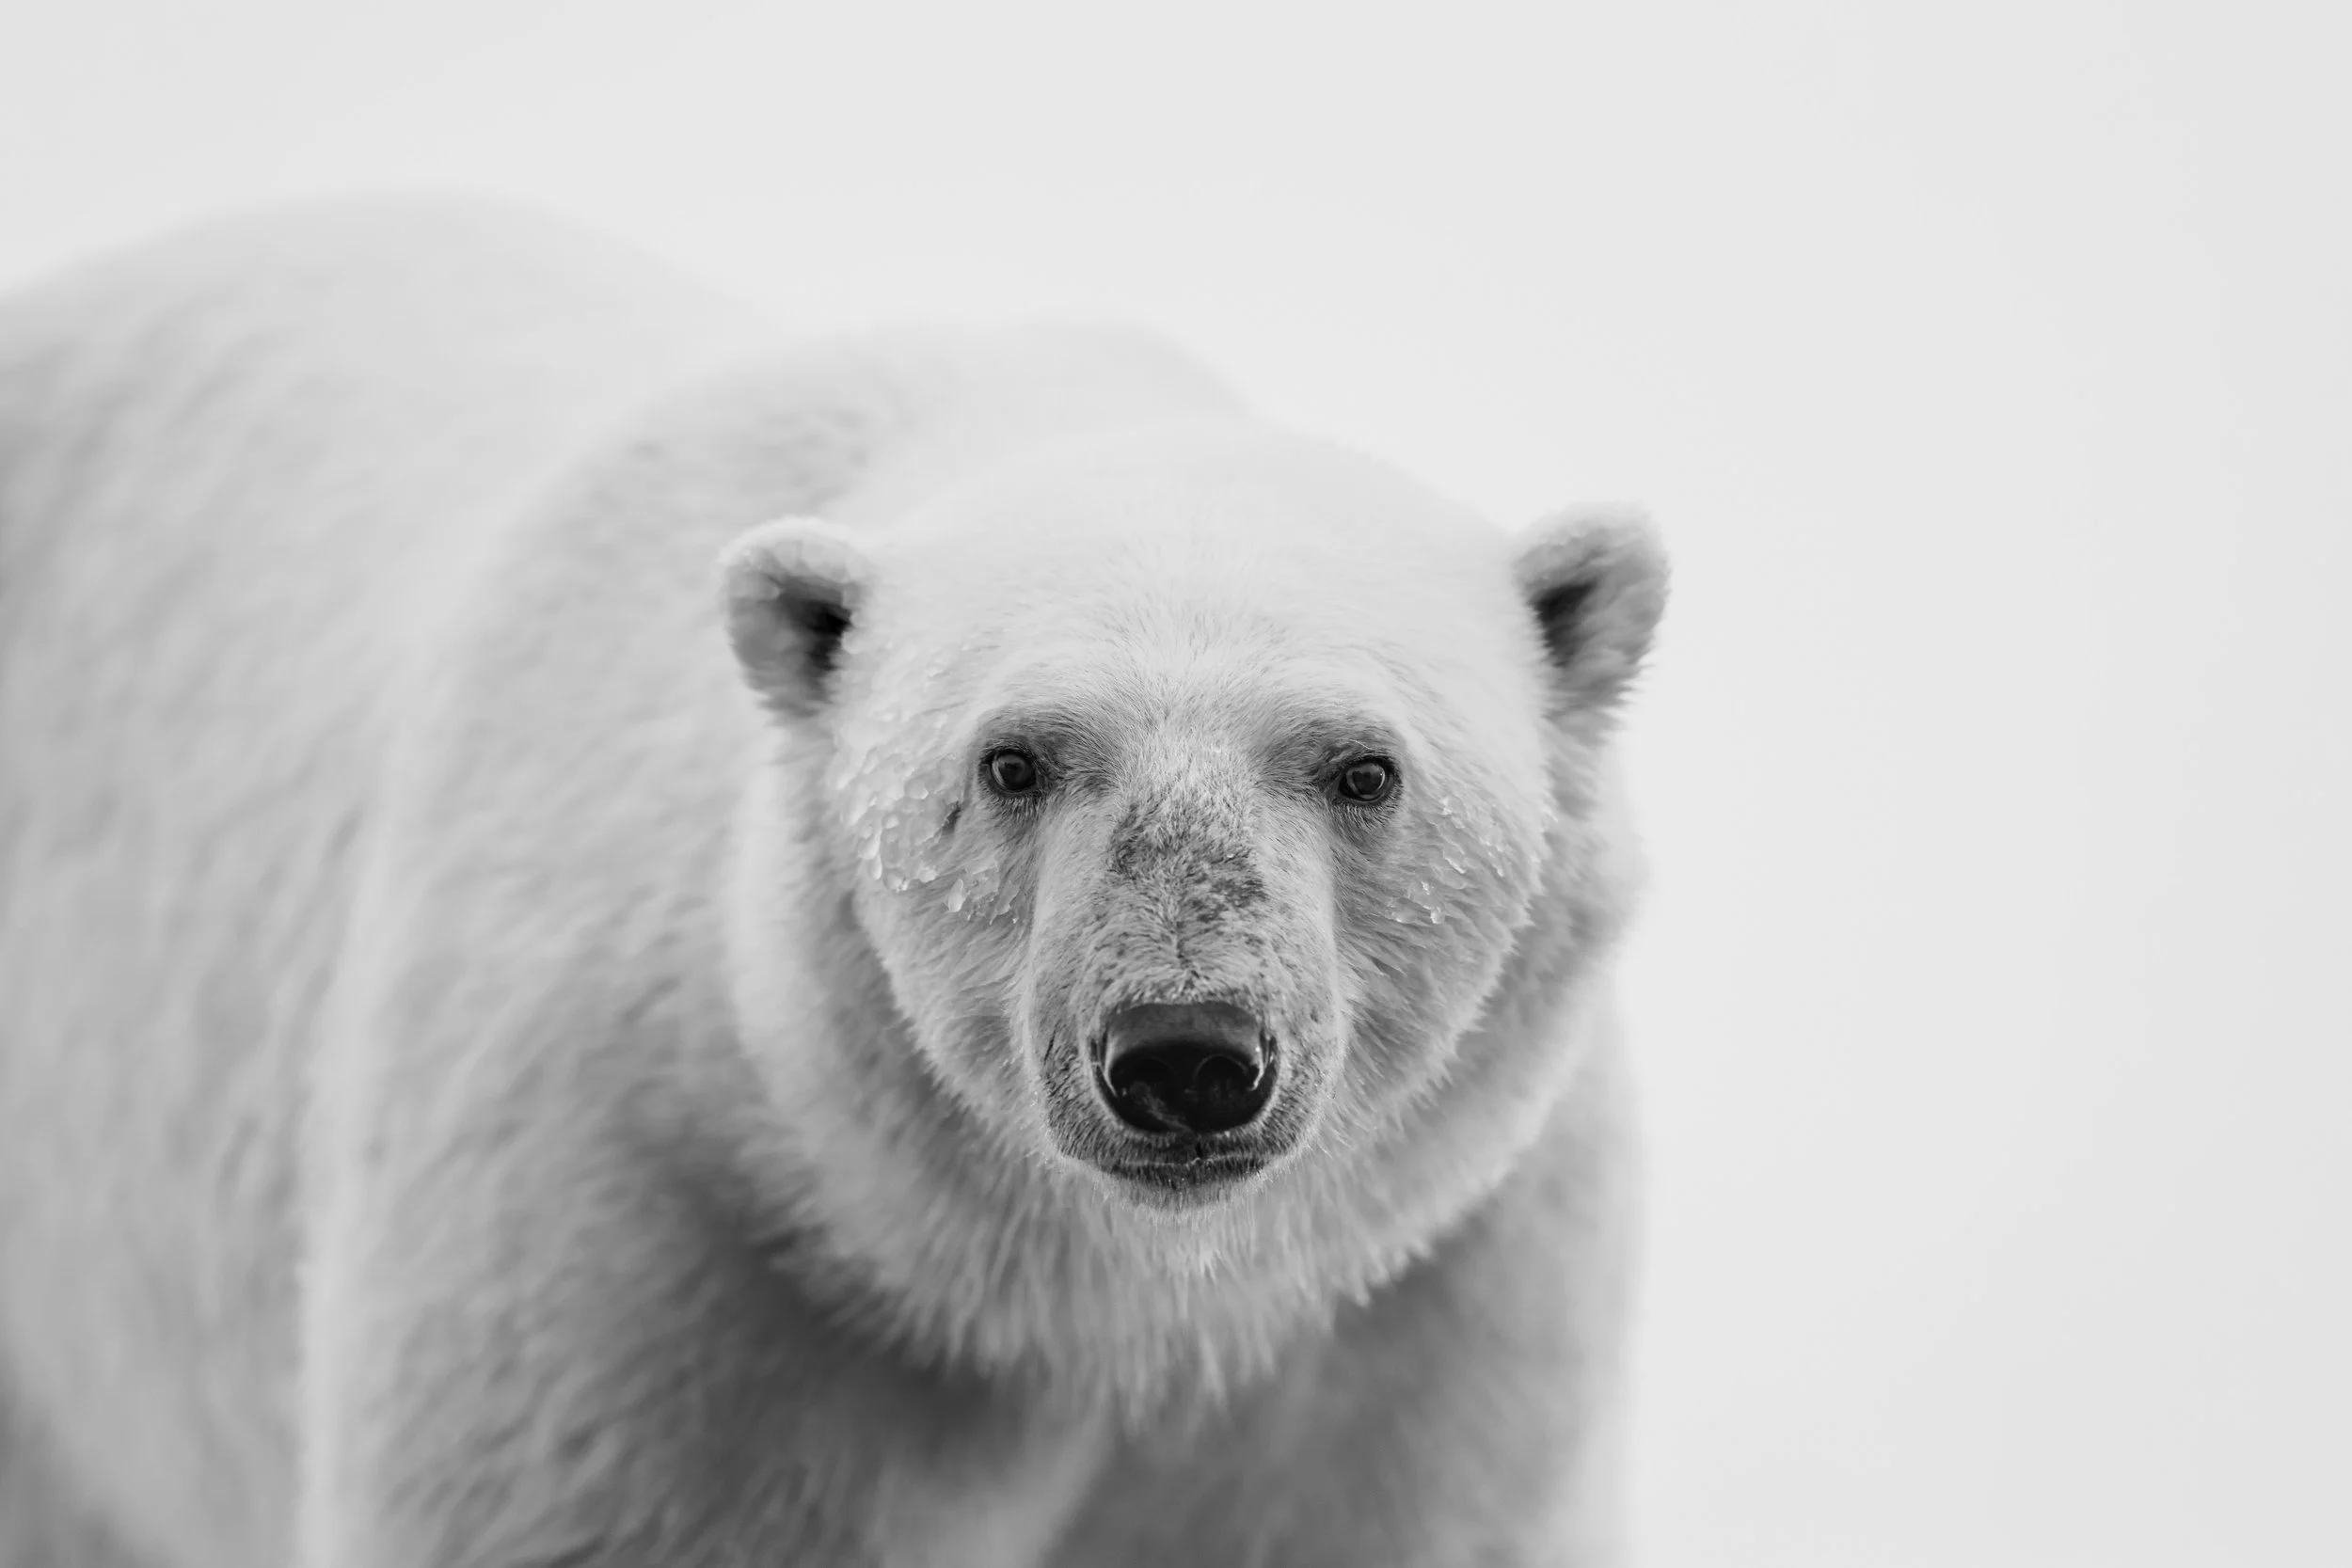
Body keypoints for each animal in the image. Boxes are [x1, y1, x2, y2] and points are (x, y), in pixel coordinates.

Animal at [0, 198, 1666, 1567]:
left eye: (1364, 767)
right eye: (1012, 760)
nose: (1185, 1054)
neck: (1100, 1302)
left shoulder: (1418, 1322)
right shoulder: (660, 1246)